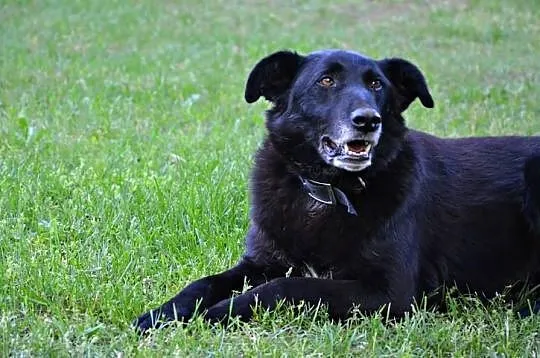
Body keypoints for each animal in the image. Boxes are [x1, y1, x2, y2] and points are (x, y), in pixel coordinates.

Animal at [135, 49, 540, 332]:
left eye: (377, 85)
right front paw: (163, 314)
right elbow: (204, 282)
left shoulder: (388, 293)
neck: (327, 190)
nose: (368, 121)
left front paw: (218, 313)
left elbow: (286, 286)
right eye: (326, 82)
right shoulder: (260, 261)